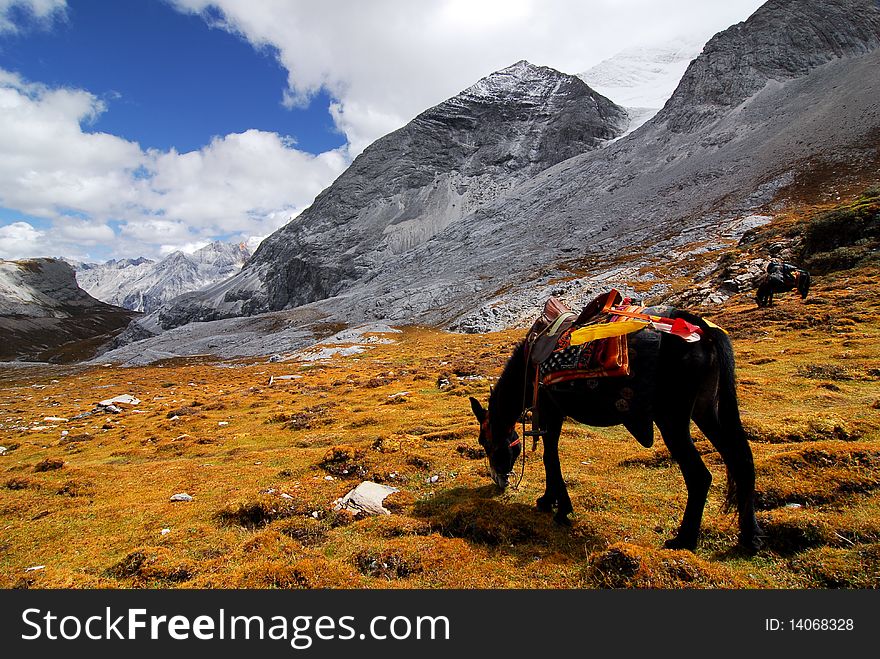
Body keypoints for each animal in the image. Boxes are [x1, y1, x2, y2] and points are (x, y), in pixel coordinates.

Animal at [468, 306, 764, 556]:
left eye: (484, 441)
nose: (499, 481)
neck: (529, 366)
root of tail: (701, 329)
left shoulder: (552, 409)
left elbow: (550, 457)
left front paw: (560, 508)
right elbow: (549, 457)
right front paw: (548, 500)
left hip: (672, 418)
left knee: (699, 475)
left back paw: (684, 539)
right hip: (707, 410)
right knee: (742, 461)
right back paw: (750, 538)